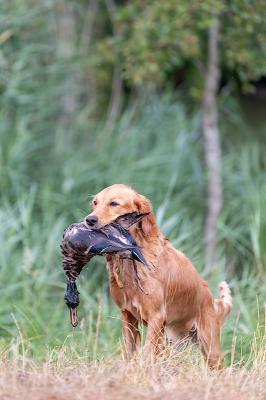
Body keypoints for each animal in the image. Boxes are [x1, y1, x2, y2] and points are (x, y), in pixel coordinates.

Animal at [84, 184, 231, 368]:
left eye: (114, 203)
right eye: (95, 203)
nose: (89, 220)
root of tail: (211, 300)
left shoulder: (156, 316)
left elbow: (147, 352)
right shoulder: (127, 315)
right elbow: (131, 351)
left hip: (210, 348)